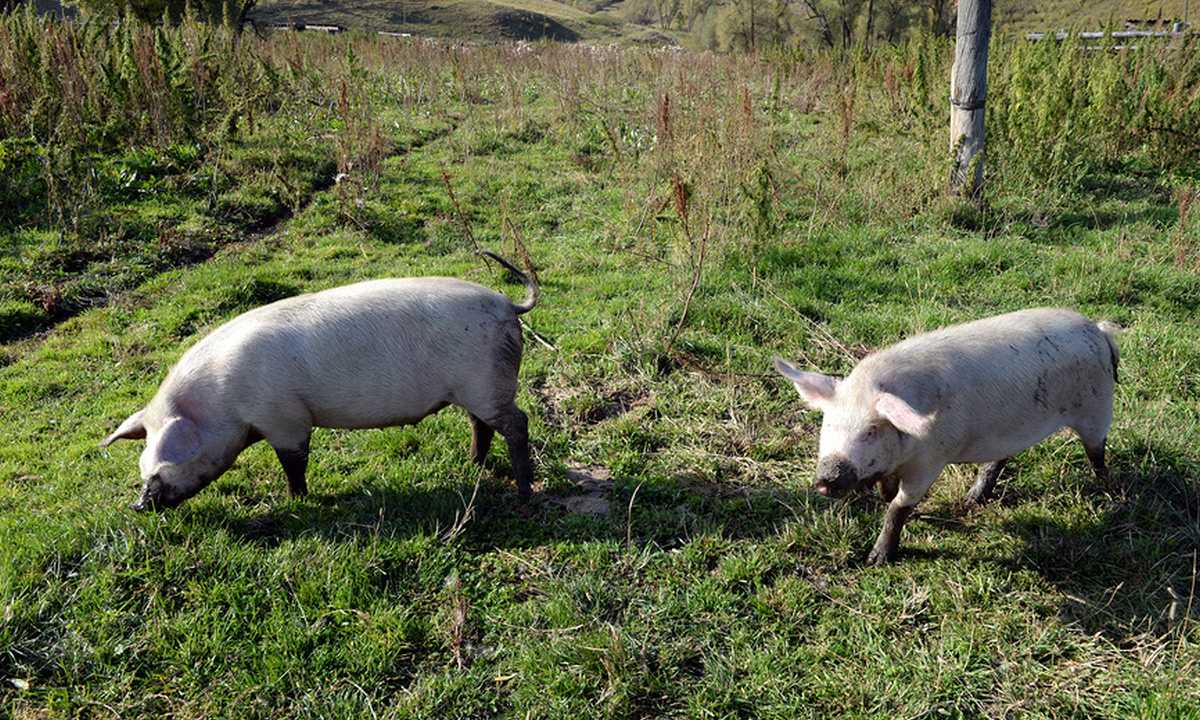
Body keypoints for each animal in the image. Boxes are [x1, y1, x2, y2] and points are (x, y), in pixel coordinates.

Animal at [100, 250, 542, 508]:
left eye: (162, 465)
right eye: (141, 465)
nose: (139, 505)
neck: (224, 404)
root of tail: (508, 305)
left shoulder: (285, 418)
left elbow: (294, 462)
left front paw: (294, 502)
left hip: (487, 381)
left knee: (516, 423)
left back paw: (523, 491)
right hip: (473, 388)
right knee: (481, 424)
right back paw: (473, 466)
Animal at [772, 306, 1118, 566]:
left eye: (870, 431)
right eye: (828, 425)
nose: (827, 478)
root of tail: (1098, 329)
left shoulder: (930, 461)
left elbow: (898, 507)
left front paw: (876, 560)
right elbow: (887, 495)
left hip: (1097, 407)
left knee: (1097, 453)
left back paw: (1109, 494)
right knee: (1000, 459)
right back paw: (971, 500)